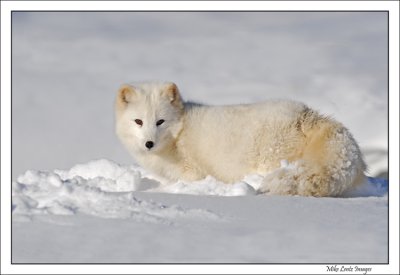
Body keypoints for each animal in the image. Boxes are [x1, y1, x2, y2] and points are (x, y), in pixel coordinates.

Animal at [115, 81, 366, 197]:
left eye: (160, 121)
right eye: (138, 122)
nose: (149, 143)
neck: (180, 130)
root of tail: (305, 114)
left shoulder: (193, 173)